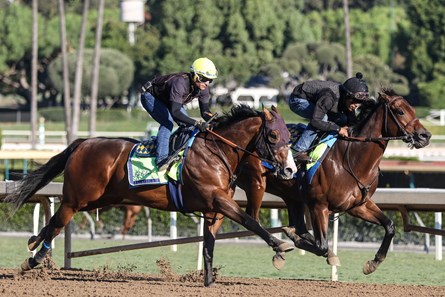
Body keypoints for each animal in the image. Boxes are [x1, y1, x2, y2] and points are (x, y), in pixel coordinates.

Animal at [5, 105, 296, 286]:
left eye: (289, 136)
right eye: (273, 135)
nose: (290, 169)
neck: (217, 153)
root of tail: (83, 143)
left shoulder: (214, 211)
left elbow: (209, 245)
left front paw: (208, 280)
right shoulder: (218, 200)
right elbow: (250, 221)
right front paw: (280, 247)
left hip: (99, 199)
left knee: (55, 219)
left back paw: (33, 242)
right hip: (78, 198)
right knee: (58, 222)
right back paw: (33, 259)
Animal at [238, 89, 432, 274]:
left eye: (413, 110)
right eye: (400, 111)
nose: (425, 135)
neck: (351, 159)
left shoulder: (358, 205)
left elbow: (390, 225)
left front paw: (373, 263)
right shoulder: (319, 206)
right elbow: (321, 246)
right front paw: (292, 238)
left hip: (291, 196)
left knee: (298, 225)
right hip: (257, 184)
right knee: (252, 217)